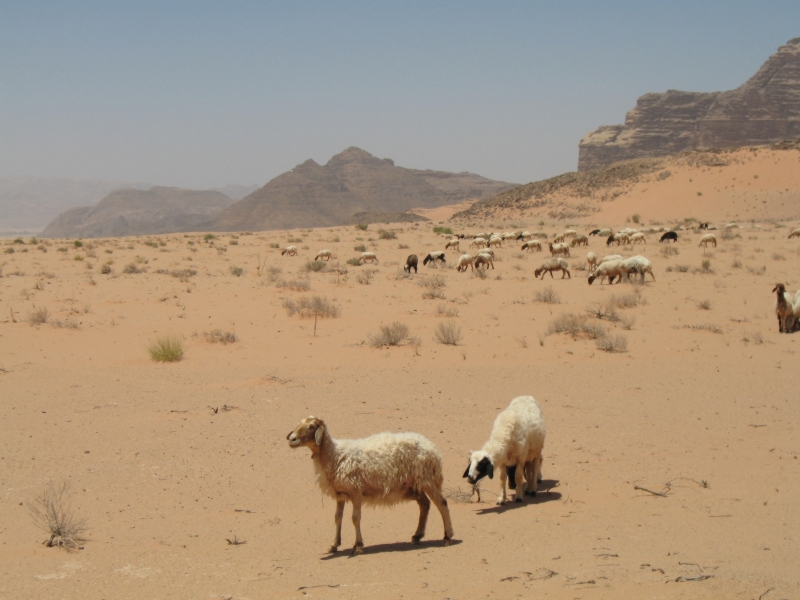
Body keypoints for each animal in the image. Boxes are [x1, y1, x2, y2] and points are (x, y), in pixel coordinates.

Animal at [288, 414, 454, 556]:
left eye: (311, 426)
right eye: (299, 423)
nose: (292, 439)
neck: (333, 455)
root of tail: (431, 446)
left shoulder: (356, 491)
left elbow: (355, 518)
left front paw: (357, 546)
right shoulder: (340, 494)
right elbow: (337, 517)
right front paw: (334, 544)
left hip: (427, 479)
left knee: (442, 503)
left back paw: (447, 536)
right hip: (414, 485)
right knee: (425, 504)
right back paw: (418, 535)